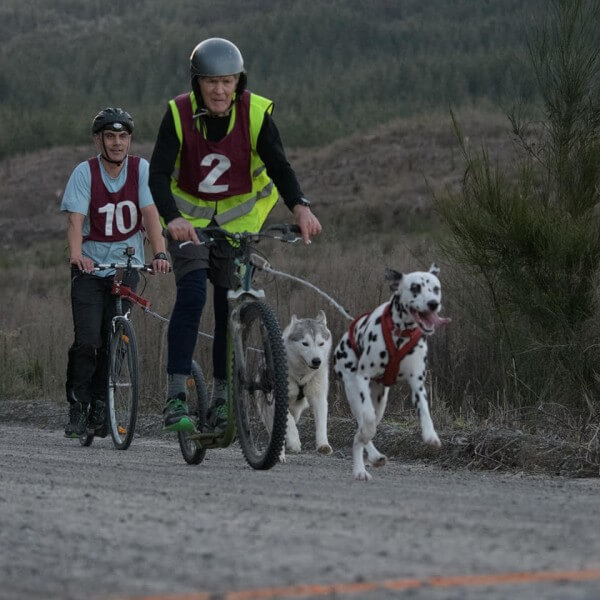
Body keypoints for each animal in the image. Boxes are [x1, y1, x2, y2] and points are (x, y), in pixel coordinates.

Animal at [282, 312, 332, 462]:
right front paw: (294, 441)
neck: (301, 375)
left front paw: (323, 445)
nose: (317, 361)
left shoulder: (318, 397)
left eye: (321, 343)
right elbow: (289, 421)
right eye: (305, 343)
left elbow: (322, 422)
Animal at [332, 264, 450, 480]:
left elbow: (425, 411)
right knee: (361, 428)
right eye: (415, 287)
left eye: (436, 289)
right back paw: (360, 469)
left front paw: (431, 435)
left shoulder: (417, 384)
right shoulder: (363, 378)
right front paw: (367, 434)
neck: (401, 333)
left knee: (363, 429)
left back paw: (373, 458)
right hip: (353, 391)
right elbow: (368, 421)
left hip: (381, 401)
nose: (433, 304)